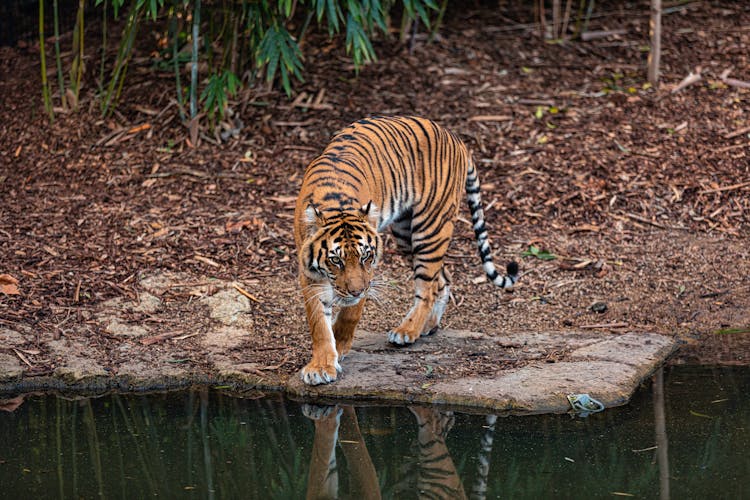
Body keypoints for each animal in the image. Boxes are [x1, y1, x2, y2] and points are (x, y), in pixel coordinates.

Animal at [296, 115, 520, 384]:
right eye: (335, 260)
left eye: (365, 257)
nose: (355, 291)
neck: (335, 204)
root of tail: (456, 139)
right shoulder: (309, 274)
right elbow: (318, 323)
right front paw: (321, 366)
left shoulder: (369, 273)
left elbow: (350, 314)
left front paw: (339, 348)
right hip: (406, 234)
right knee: (442, 278)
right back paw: (428, 325)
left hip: (430, 228)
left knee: (427, 287)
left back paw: (407, 330)